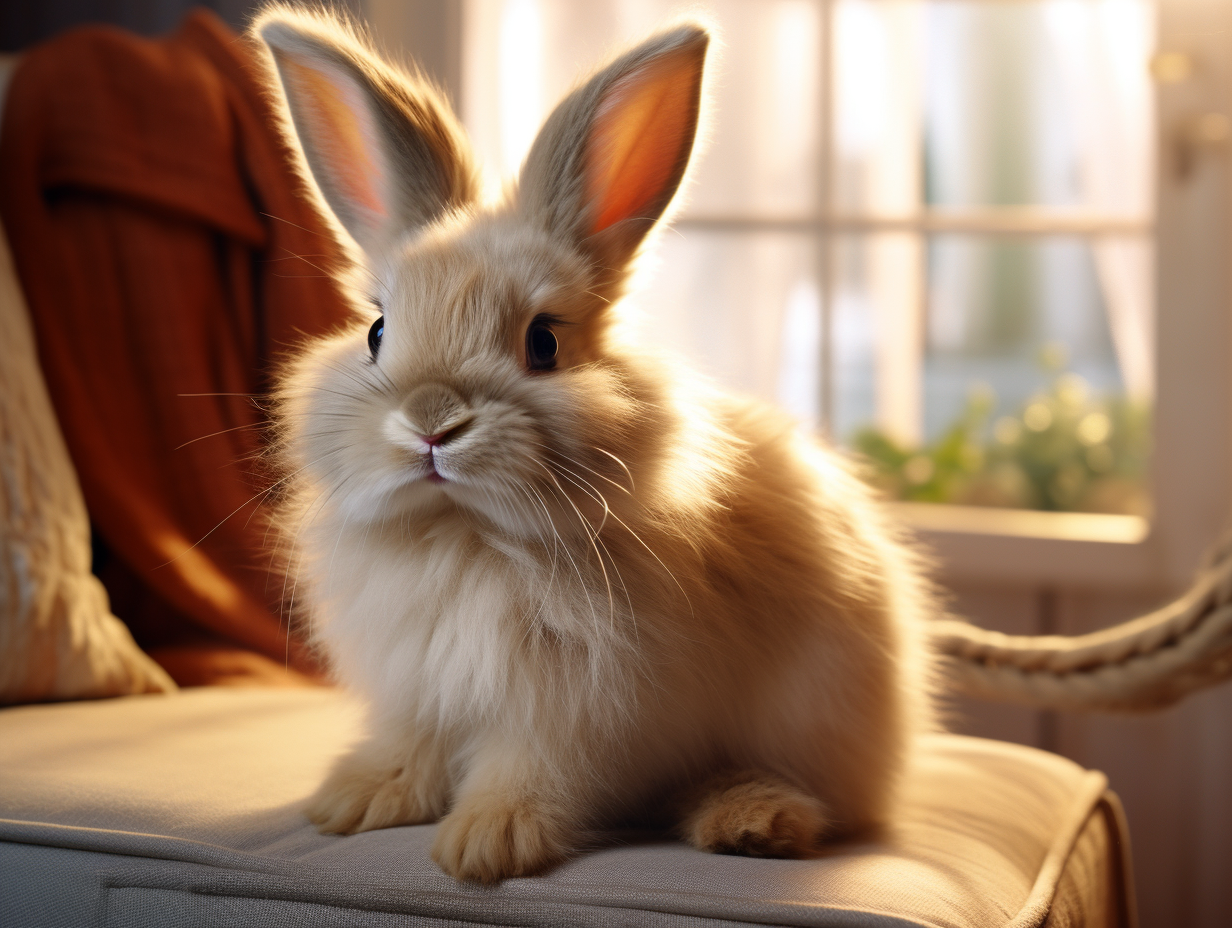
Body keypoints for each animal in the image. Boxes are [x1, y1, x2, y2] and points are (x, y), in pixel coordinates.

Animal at [254, 5, 935, 884]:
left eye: (544, 343)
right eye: (376, 333)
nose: (431, 421)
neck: (465, 534)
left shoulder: (577, 712)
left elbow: (529, 769)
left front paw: (489, 842)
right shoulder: (421, 689)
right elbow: (414, 746)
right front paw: (357, 802)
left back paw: (751, 820)